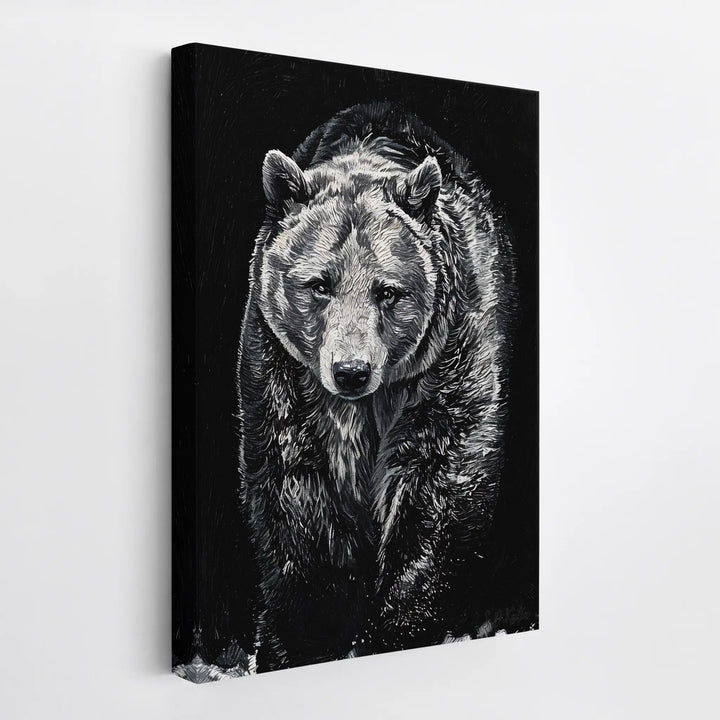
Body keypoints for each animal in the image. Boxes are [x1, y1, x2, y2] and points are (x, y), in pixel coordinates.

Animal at [237, 102, 515, 671]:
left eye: (388, 291)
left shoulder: (449, 360)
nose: (351, 370)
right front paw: (299, 639)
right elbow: (294, 496)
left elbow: (437, 489)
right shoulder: (279, 369)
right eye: (319, 284)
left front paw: (391, 630)